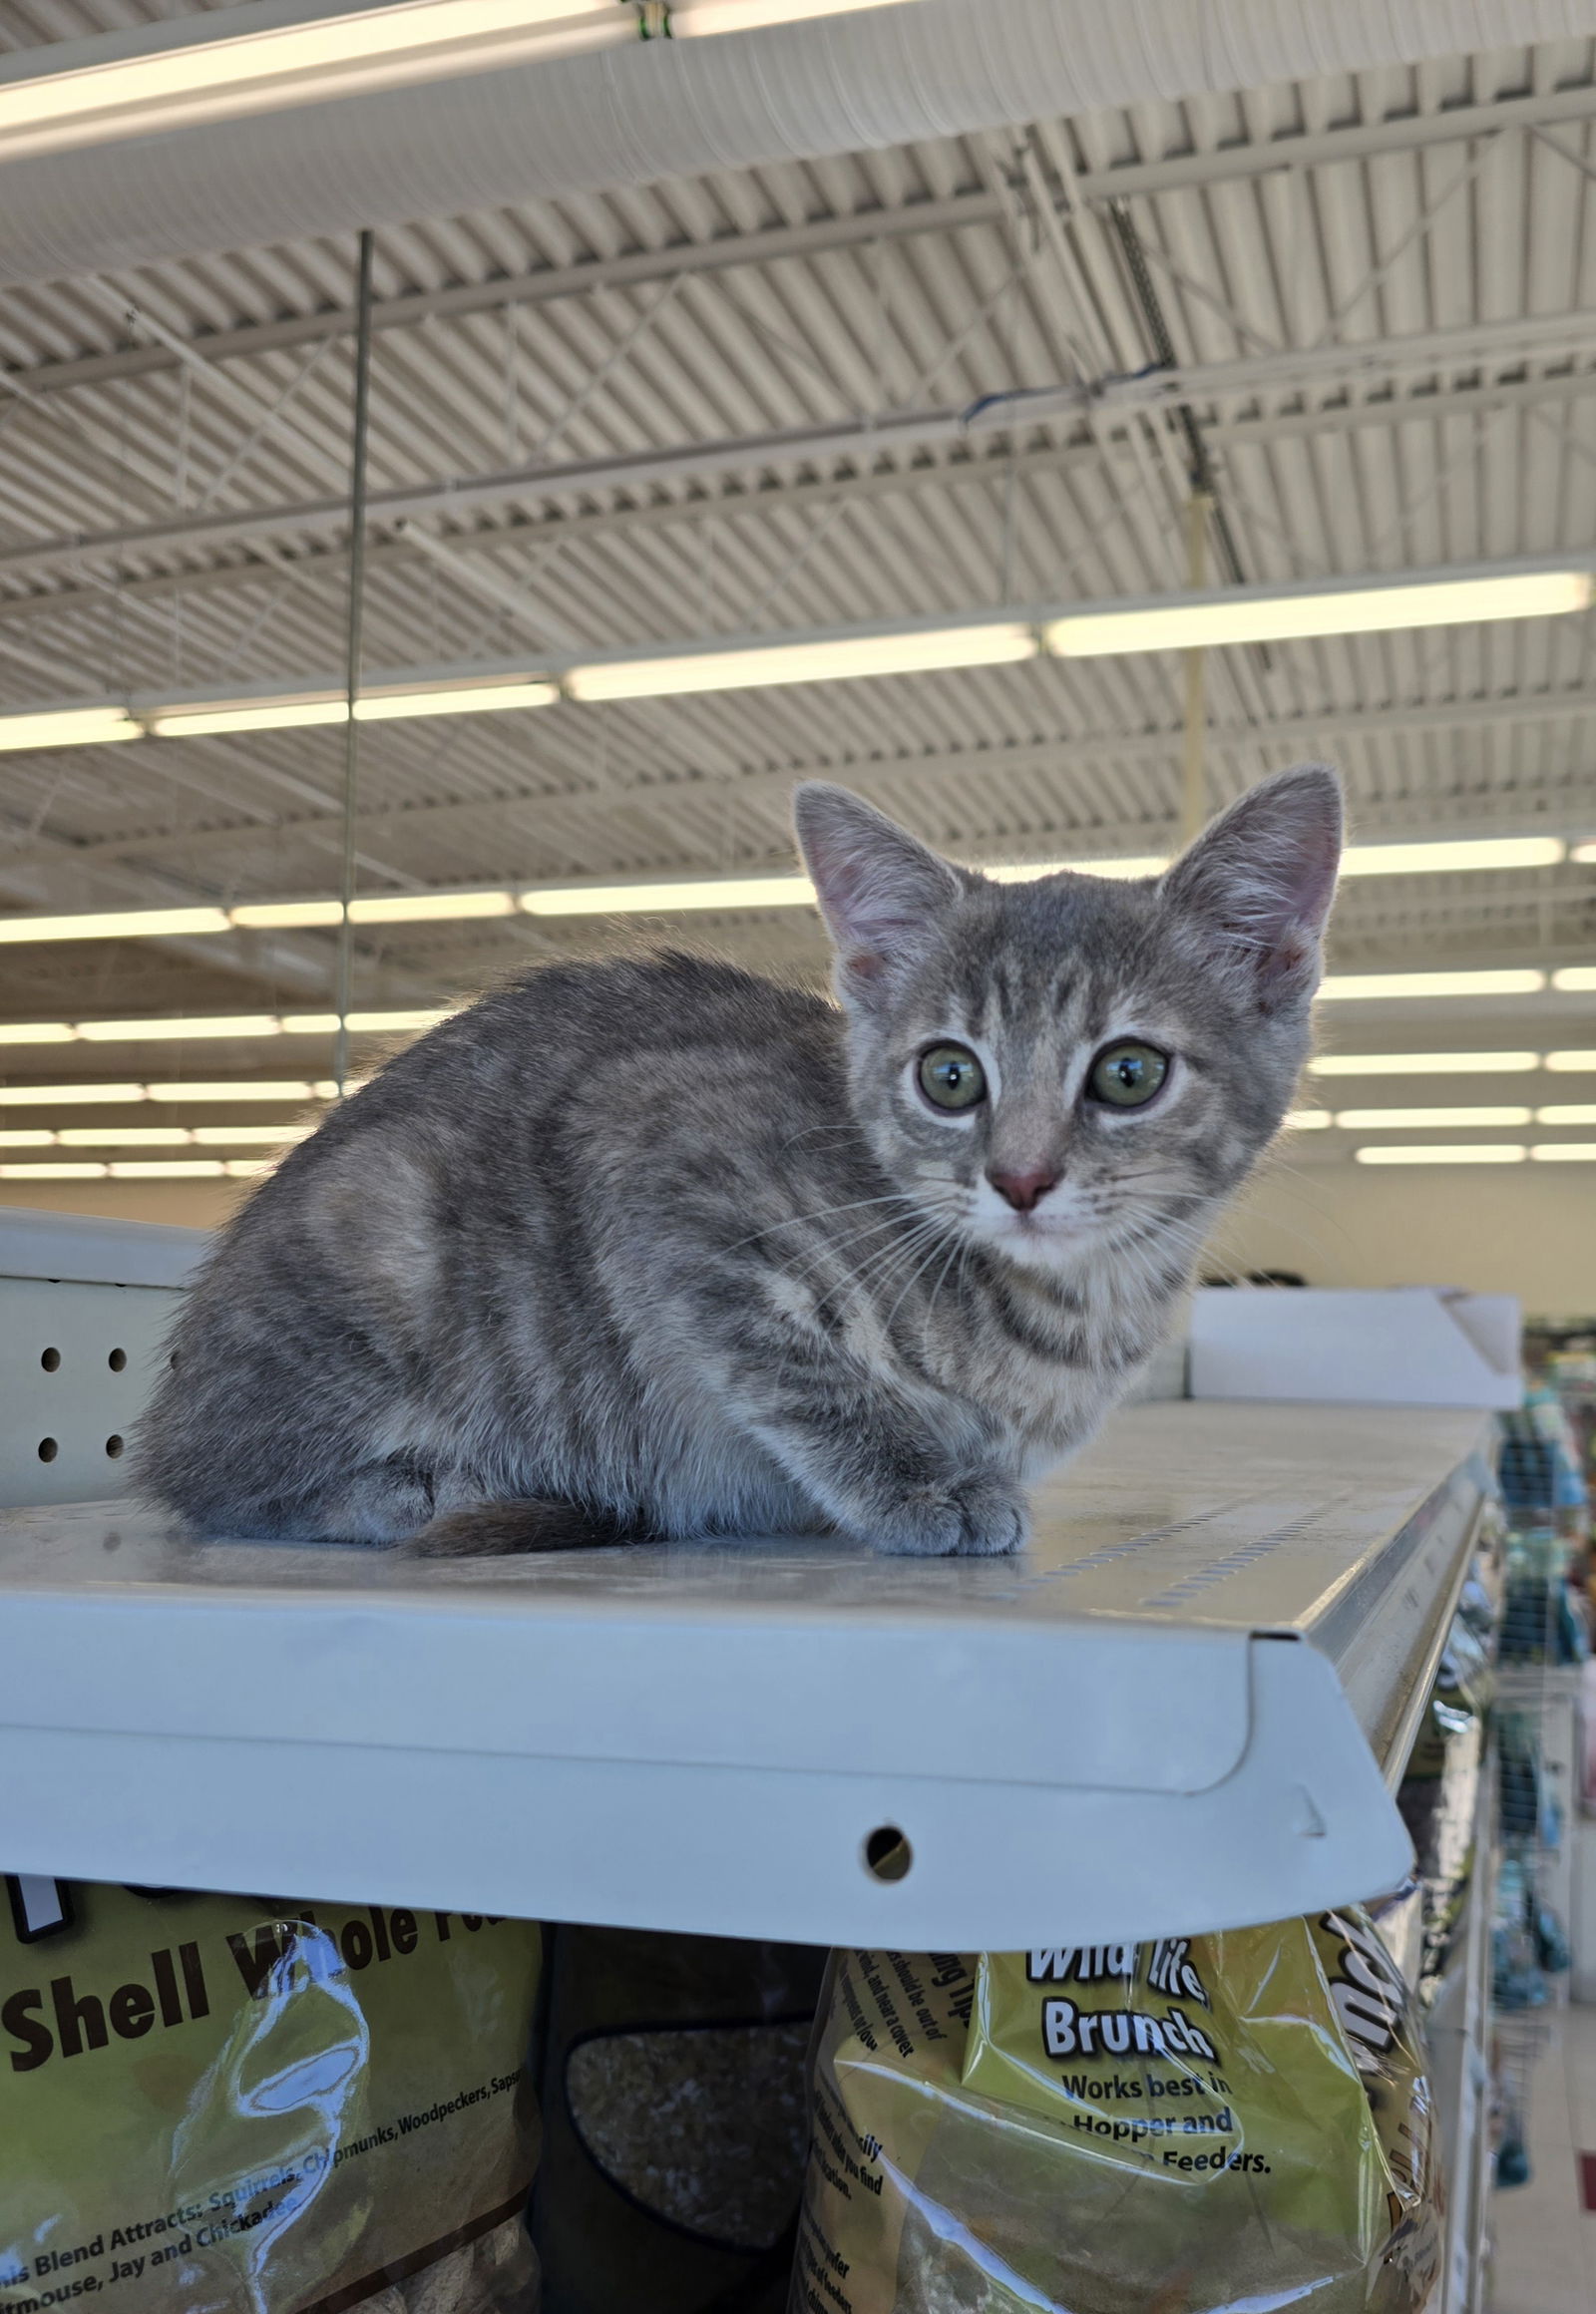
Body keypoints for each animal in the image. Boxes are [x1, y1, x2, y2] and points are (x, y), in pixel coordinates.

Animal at [136, 772, 1332, 1555]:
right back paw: (421, 1489)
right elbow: (795, 1365)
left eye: (1128, 1073)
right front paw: (914, 1482)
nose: (1022, 1179)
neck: (1071, 1311)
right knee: (218, 1486)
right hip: (381, 1219)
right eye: (950, 1076)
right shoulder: (651, 1144)